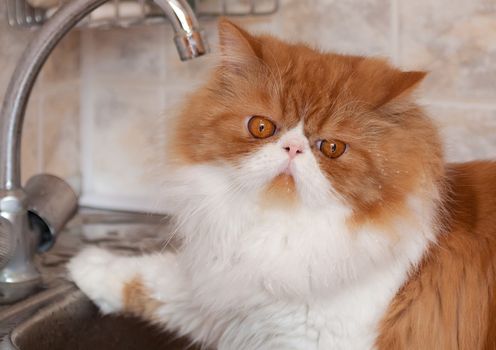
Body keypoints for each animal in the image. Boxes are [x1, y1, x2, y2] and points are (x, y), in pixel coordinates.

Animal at [69, 19, 496, 350]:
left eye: (332, 147)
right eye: (262, 127)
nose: (293, 147)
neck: (280, 229)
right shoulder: (231, 297)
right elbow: (156, 280)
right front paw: (88, 266)